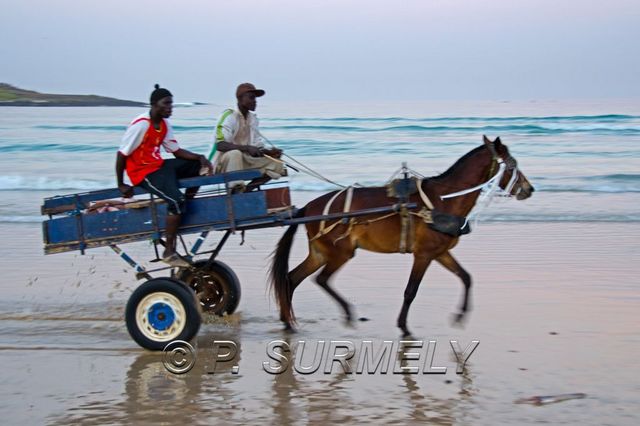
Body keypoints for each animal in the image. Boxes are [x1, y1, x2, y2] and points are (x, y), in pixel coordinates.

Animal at [270, 136, 536, 336]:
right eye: (512, 165)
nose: (529, 189)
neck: (442, 201)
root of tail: (308, 207)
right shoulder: (424, 254)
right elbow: (411, 291)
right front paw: (404, 326)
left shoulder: (440, 252)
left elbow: (466, 278)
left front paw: (460, 316)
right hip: (340, 252)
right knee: (321, 280)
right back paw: (346, 313)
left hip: (320, 252)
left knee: (291, 279)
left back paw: (287, 321)